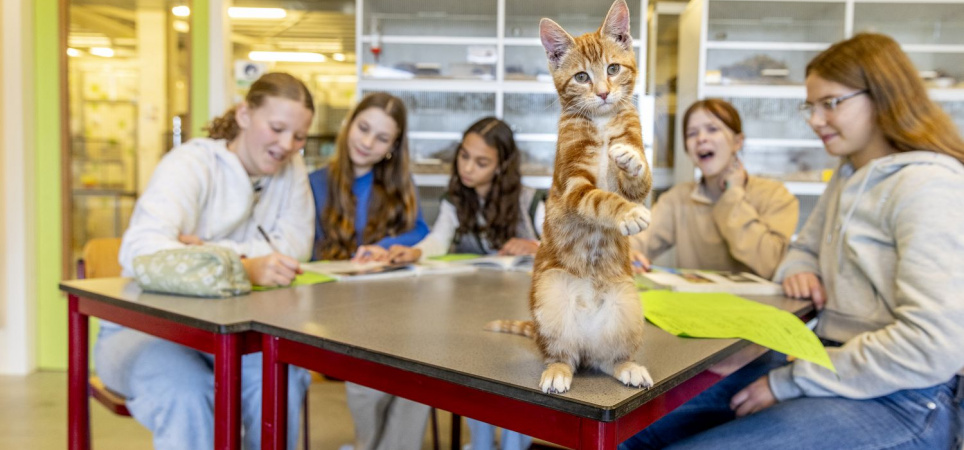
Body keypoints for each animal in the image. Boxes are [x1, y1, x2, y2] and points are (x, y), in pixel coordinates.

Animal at [490, 0, 656, 394]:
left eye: (613, 69)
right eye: (581, 77)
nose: (603, 93)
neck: (602, 121)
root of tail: (587, 341)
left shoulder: (636, 180)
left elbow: (639, 180)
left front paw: (629, 158)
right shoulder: (573, 187)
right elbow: (601, 199)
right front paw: (628, 214)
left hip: (628, 305)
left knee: (608, 358)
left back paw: (628, 367)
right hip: (548, 299)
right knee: (563, 354)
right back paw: (557, 371)